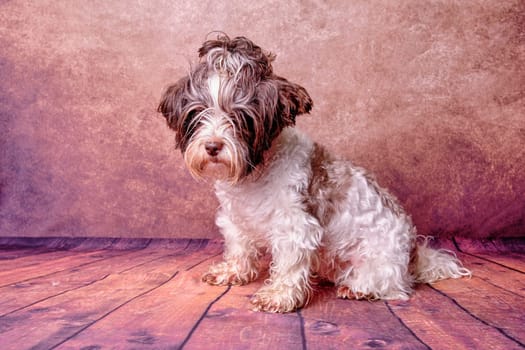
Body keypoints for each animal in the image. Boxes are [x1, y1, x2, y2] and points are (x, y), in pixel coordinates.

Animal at [157, 34, 470, 314]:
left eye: (240, 117)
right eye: (198, 113)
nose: (213, 146)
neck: (256, 173)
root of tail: (414, 254)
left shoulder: (295, 226)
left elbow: (289, 265)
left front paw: (279, 296)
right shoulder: (235, 219)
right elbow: (240, 248)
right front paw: (233, 272)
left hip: (380, 261)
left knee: (393, 286)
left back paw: (359, 288)